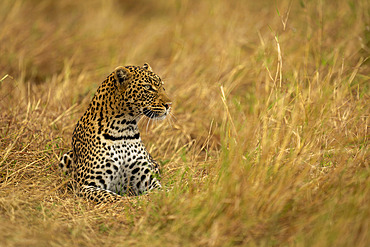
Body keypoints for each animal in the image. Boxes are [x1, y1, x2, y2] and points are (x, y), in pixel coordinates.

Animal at [59, 62, 172, 204]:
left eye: (162, 86)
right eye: (148, 87)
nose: (169, 104)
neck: (124, 128)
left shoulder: (147, 179)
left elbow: (162, 191)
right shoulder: (86, 185)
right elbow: (112, 197)